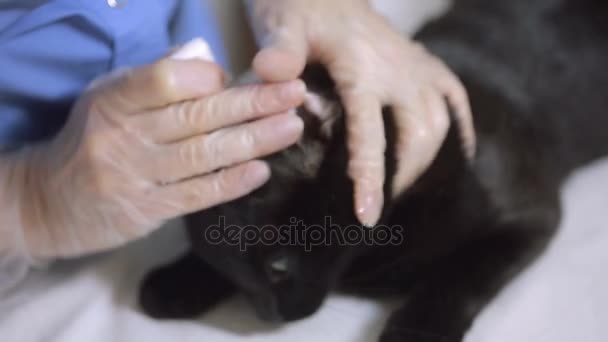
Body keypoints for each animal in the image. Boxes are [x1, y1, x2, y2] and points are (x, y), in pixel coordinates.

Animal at [139, 1, 608, 340]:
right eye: (227, 272)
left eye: (279, 268)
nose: (268, 318)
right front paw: (175, 281)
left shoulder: (527, 215)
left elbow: (460, 273)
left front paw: (416, 330)